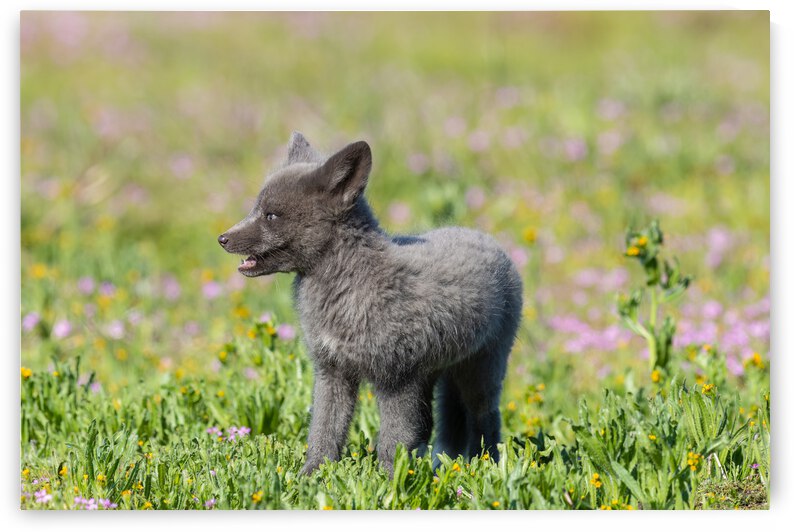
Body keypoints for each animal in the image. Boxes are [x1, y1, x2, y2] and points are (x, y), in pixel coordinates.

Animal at [218, 133, 523, 476]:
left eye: (270, 215)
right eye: (256, 208)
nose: (222, 238)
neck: (351, 287)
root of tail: (485, 238)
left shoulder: (397, 380)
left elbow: (392, 441)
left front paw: (390, 482)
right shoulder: (332, 371)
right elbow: (323, 432)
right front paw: (311, 477)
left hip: (481, 373)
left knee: (487, 420)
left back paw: (488, 465)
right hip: (437, 376)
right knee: (435, 425)